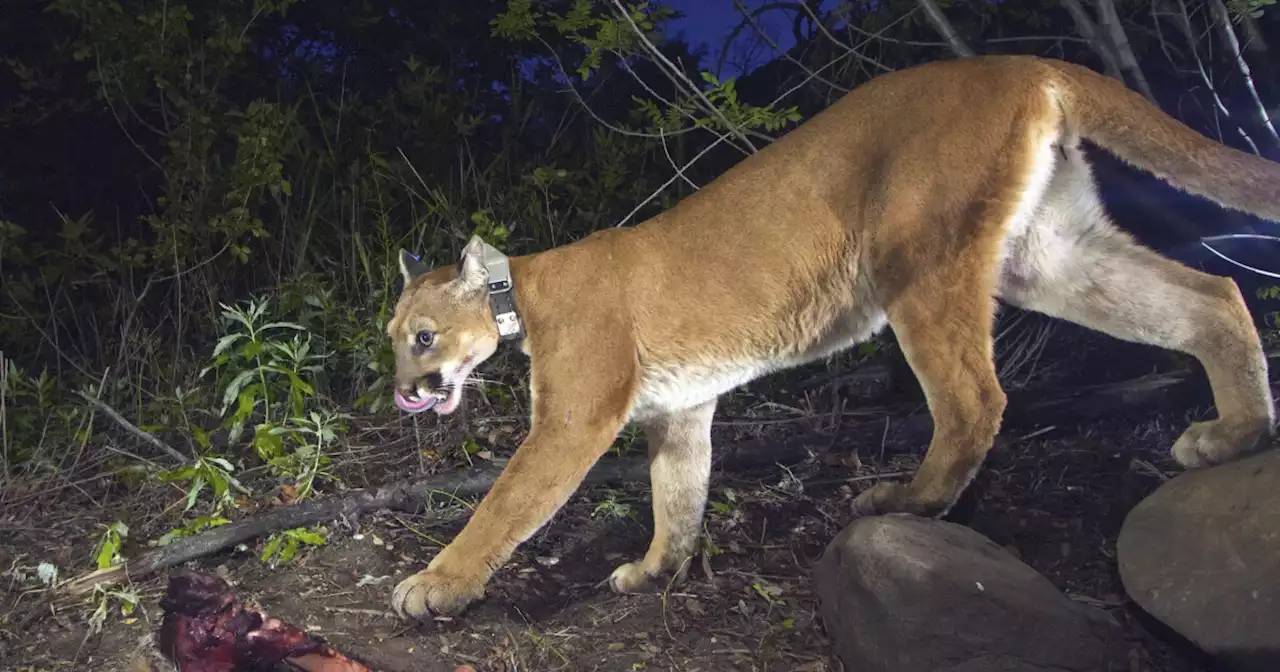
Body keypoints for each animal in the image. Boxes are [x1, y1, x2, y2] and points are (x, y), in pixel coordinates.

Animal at [384, 55, 1274, 616]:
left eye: (422, 338)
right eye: (393, 337)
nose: (402, 391)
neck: (521, 296)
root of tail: (1025, 64)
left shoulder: (576, 415)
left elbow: (506, 502)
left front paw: (436, 584)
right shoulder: (682, 410)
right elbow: (679, 494)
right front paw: (655, 569)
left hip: (917, 262)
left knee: (976, 398)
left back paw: (907, 498)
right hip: (1047, 255)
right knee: (1214, 292)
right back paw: (1236, 432)